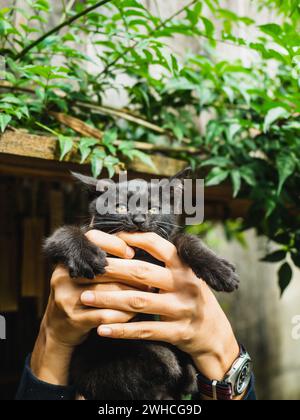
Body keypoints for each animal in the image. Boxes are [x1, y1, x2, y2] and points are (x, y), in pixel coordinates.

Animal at [43, 169, 239, 398]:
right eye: (120, 207)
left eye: (152, 208)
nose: (138, 219)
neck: (139, 253)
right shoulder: (66, 239)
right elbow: (64, 233)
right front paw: (85, 256)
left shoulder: (165, 245)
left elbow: (185, 240)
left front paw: (220, 269)